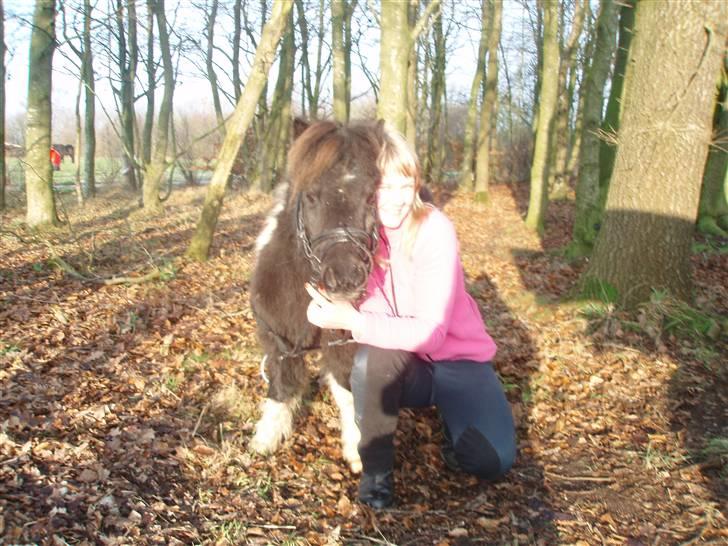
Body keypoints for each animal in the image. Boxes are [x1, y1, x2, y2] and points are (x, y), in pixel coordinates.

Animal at [247, 120, 384, 472]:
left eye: (371, 195)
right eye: (310, 195)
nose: (345, 277)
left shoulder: (346, 342)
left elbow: (348, 390)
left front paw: (357, 450)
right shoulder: (280, 337)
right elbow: (281, 384)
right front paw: (266, 439)